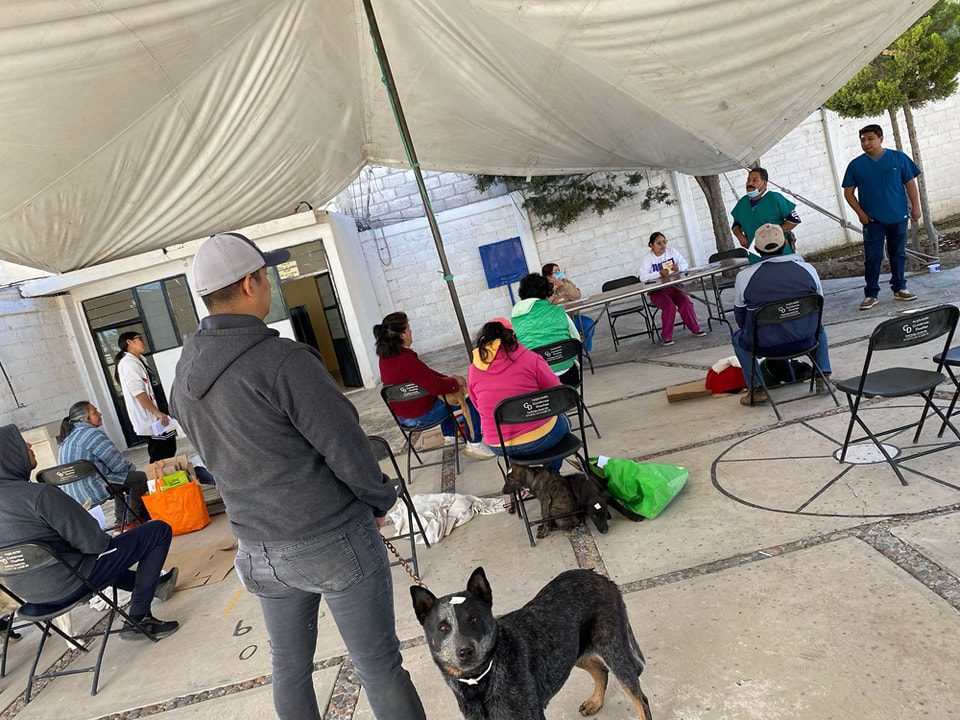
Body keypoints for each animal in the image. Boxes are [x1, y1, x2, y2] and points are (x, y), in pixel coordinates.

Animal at [412, 568, 652, 720]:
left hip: (613, 649)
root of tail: (600, 576)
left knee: (641, 700)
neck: (481, 681)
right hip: (572, 649)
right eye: (444, 627)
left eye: (474, 619)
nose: (464, 651)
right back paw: (595, 702)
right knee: (600, 670)